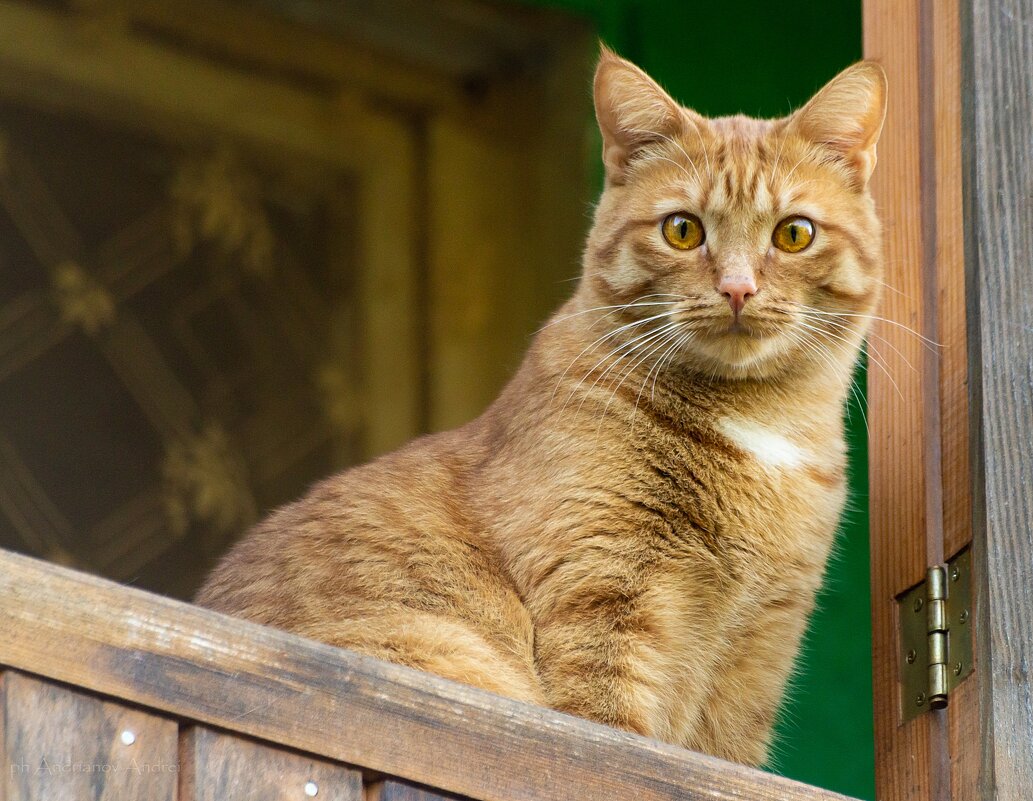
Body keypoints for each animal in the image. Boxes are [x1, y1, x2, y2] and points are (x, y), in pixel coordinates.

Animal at [201, 48, 888, 764]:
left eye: (794, 234)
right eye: (682, 230)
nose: (737, 287)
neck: (758, 427)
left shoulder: (759, 645)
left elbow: (724, 755)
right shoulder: (604, 588)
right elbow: (611, 731)